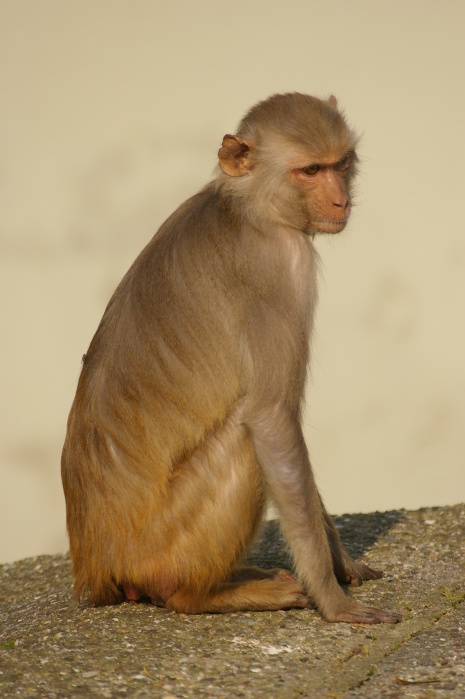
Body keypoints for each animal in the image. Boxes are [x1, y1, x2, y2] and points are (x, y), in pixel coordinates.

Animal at [60, 91, 402, 624]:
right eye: (311, 170)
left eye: (341, 163)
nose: (341, 199)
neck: (252, 206)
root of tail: (99, 571)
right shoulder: (283, 266)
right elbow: (271, 419)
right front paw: (332, 596)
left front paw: (343, 567)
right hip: (163, 547)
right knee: (243, 431)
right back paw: (203, 595)